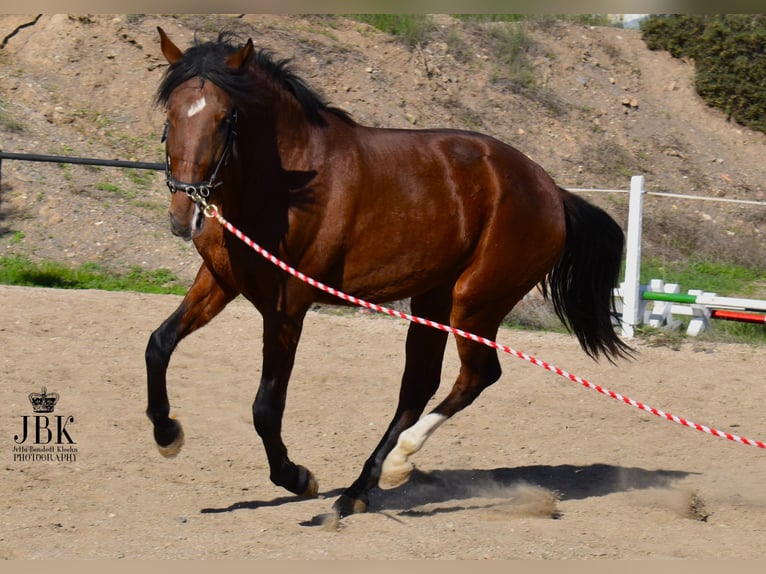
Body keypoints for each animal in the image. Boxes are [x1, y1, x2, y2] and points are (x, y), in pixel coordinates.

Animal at [147, 27, 632, 520]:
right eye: (171, 113)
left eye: (226, 118)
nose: (184, 213)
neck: (286, 188)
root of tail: (552, 192)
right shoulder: (220, 282)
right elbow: (159, 345)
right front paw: (168, 435)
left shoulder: (288, 308)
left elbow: (266, 407)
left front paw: (297, 477)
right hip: (433, 300)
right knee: (417, 387)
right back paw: (356, 491)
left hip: (474, 303)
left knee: (476, 377)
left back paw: (398, 461)